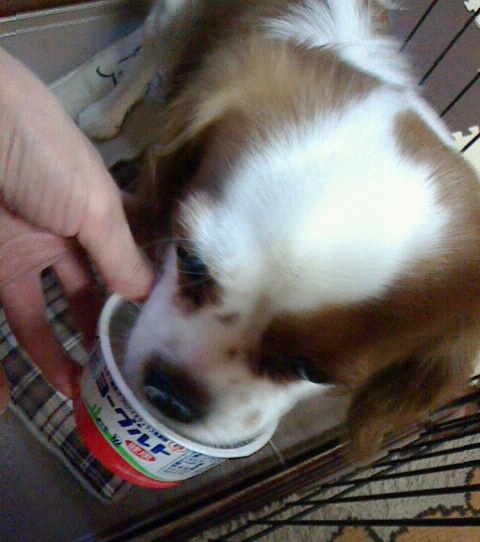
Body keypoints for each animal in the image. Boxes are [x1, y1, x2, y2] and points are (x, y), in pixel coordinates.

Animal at [79, 0, 480, 461]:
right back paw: (105, 113)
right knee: (151, 51)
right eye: (190, 261)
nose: (170, 394)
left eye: (310, 371)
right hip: (176, 15)